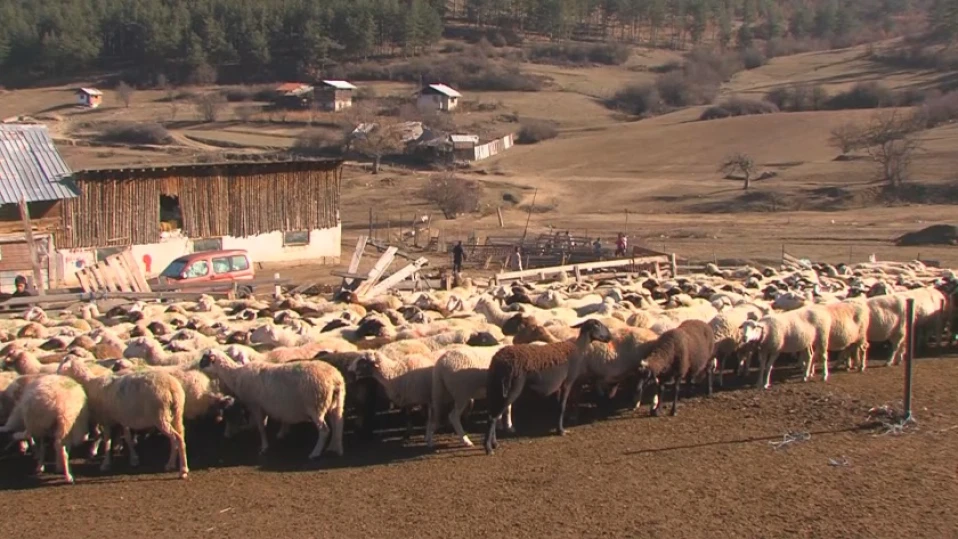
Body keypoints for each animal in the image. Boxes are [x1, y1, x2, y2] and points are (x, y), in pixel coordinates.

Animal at [199, 350, 344, 460]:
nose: (198, 367)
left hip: (316, 406)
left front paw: (264, 447)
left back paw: (315, 453)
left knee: (324, 431)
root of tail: (334, 379)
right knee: (337, 424)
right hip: (335, 404)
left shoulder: (256, 405)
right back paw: (335, 448)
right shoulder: (262, 406)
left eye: (205, 359)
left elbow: (261, 427)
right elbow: (259, 424)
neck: (236, 375)